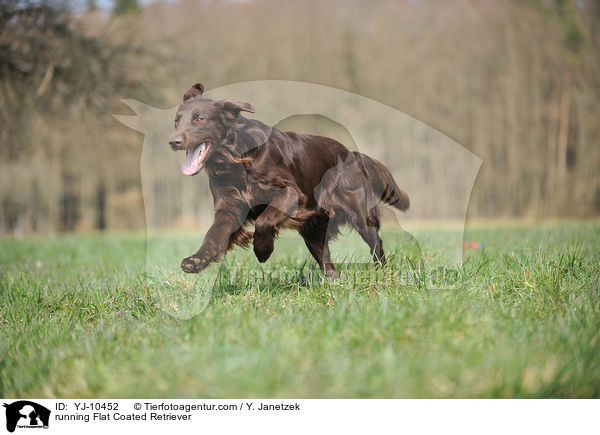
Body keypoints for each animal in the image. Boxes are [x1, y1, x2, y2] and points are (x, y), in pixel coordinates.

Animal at [171, 82, 410, 280]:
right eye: (176, 121)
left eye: (199, 119)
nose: (173, 142)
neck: (236, 159)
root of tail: (352, 153)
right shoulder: (230, 205)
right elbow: (214, 234)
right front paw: (196, 259)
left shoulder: (291, 193)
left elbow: (264, 220)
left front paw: (263, 250)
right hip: (313, 229)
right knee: (327, 261)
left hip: (360, 214)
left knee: (376, 244)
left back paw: (382, 273)